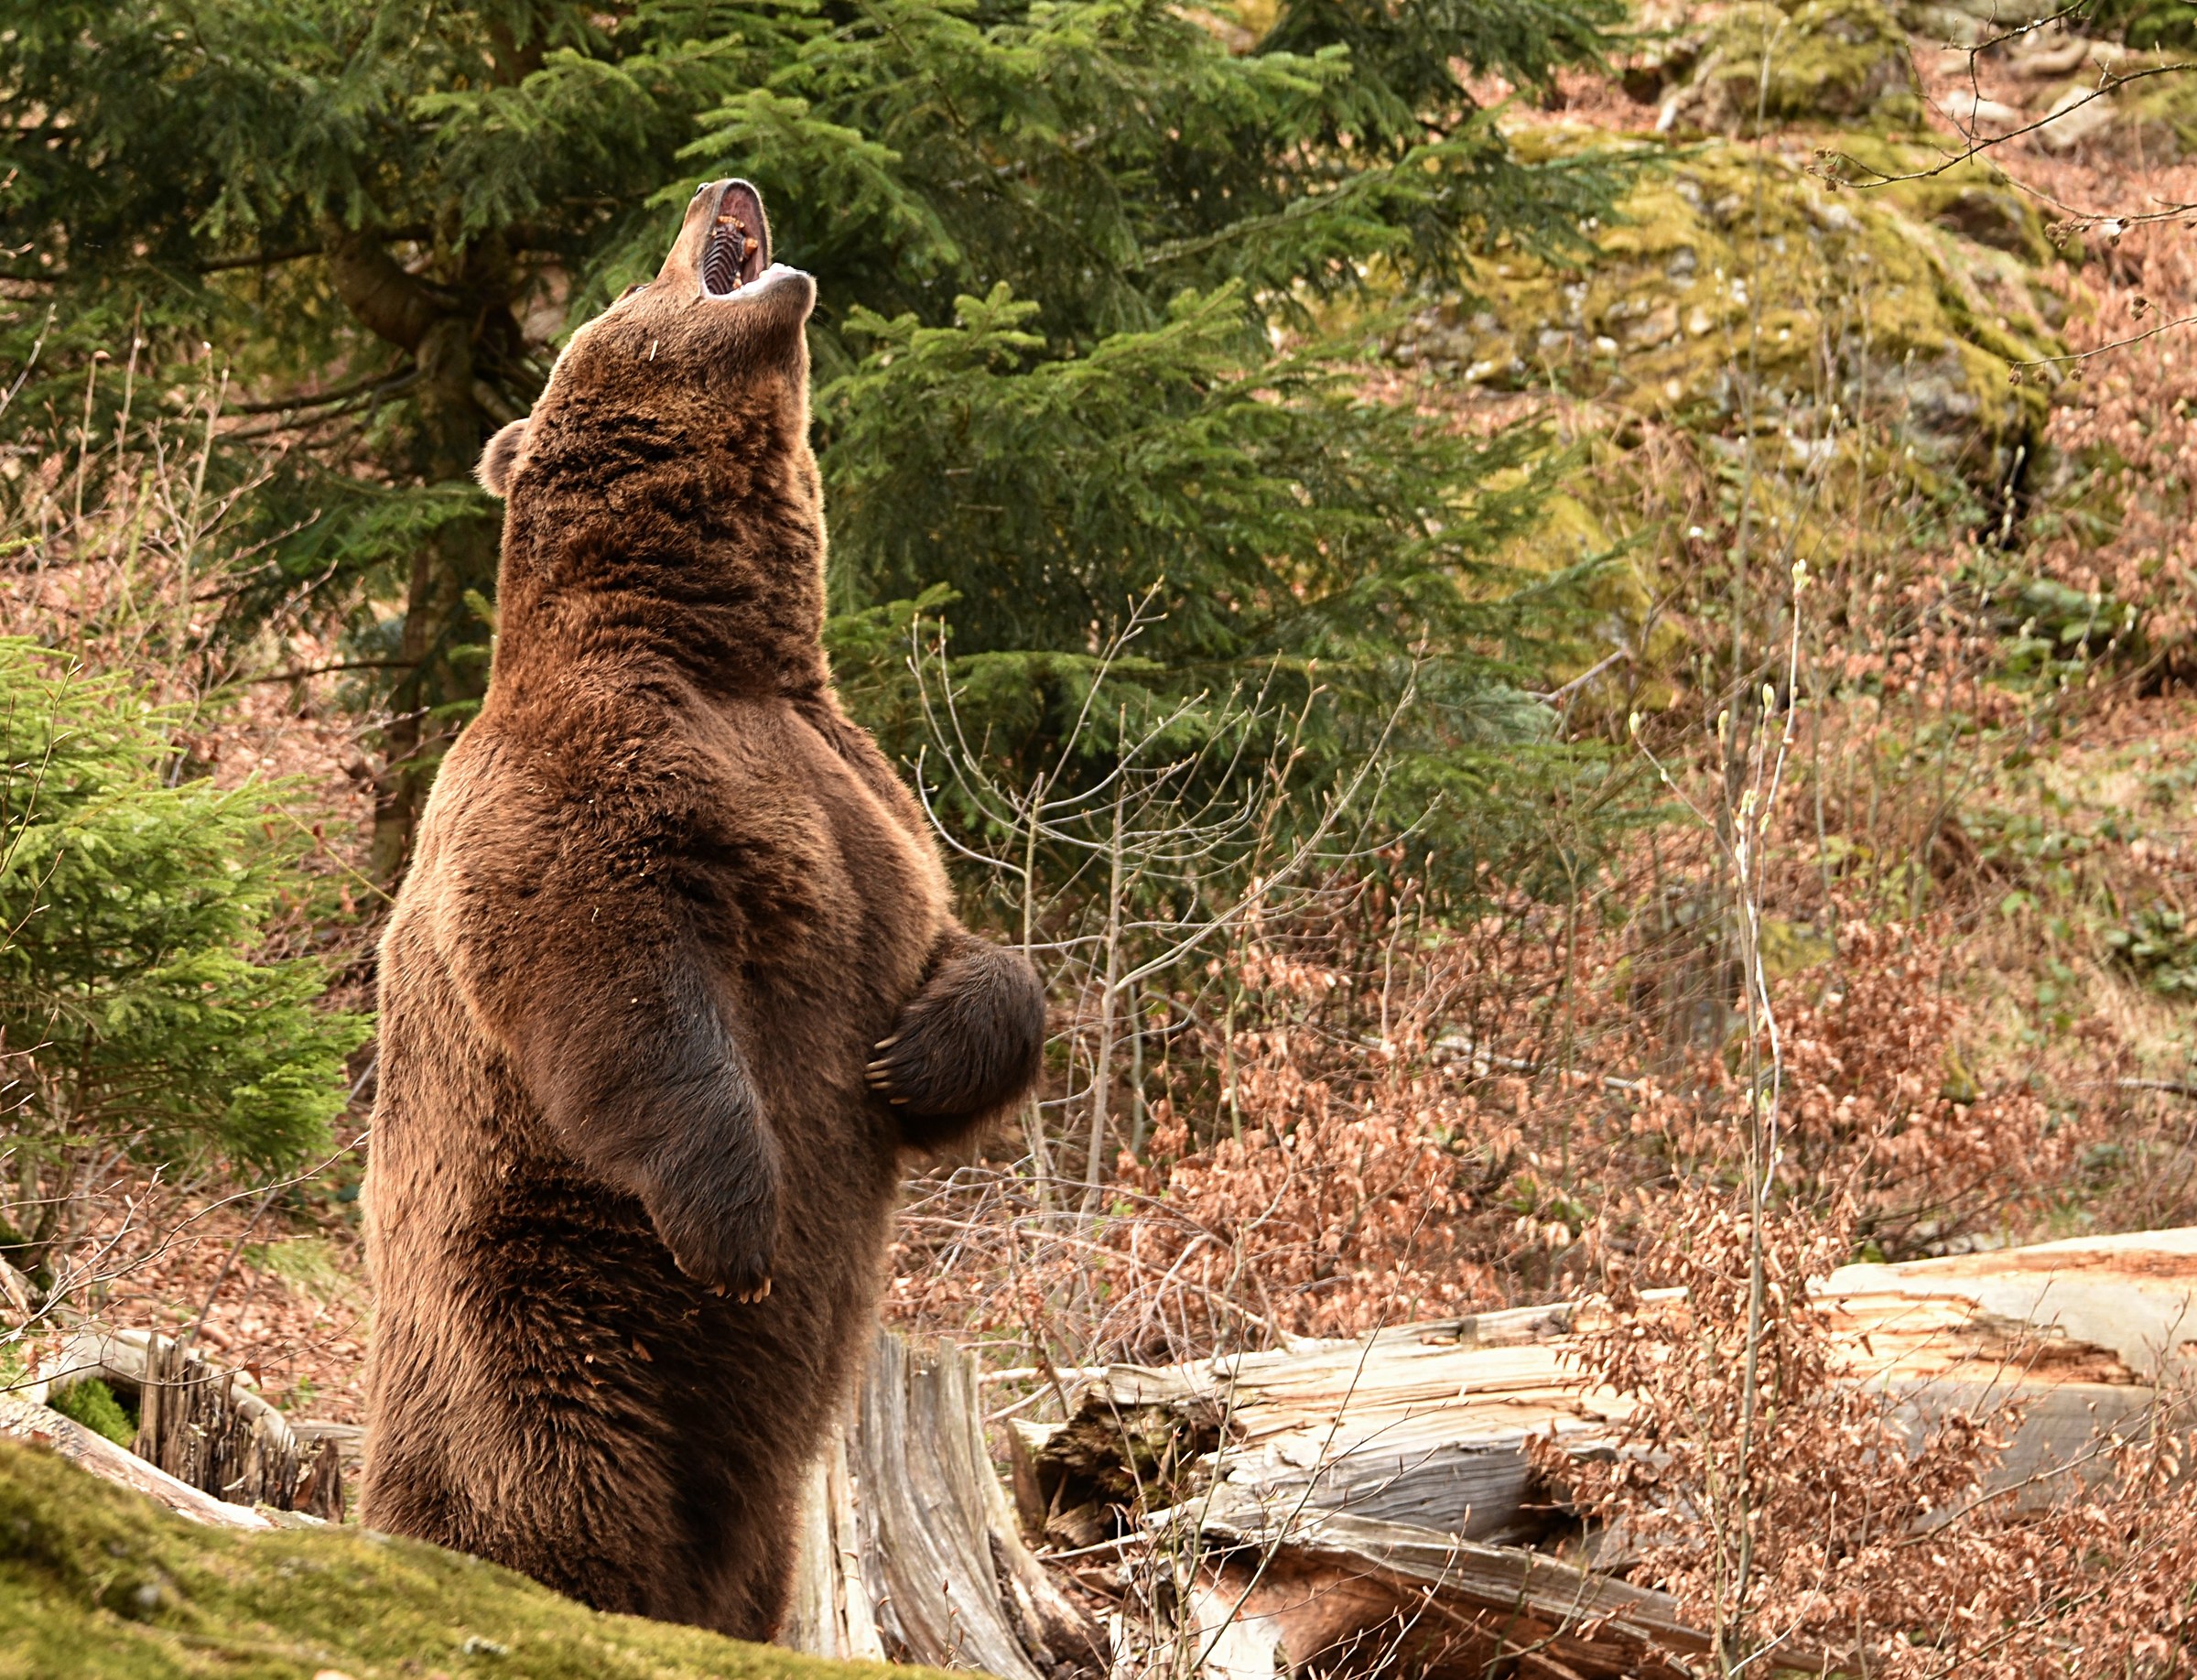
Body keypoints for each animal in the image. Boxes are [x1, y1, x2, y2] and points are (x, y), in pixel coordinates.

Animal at [358, 178, 1046, 1640]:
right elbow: (614, 959)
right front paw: (740, 1225)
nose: (722, 187)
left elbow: (961, 947)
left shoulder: (865, 798)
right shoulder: (589, 779)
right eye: (637, 274)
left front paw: (913, 1057)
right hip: (537, 1311)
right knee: (555, 1480)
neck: (722, 648)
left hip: (768, 1495)